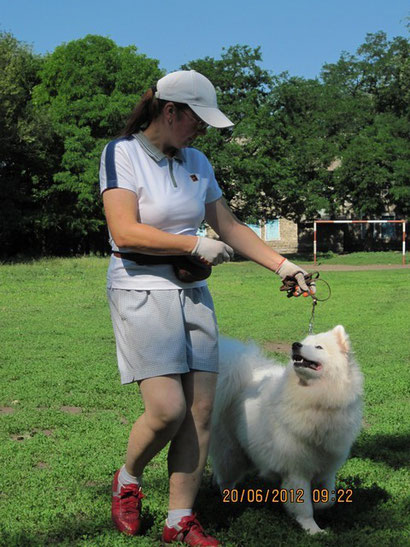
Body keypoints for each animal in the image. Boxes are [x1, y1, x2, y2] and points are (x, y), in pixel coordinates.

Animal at [210, 326, 364, 536]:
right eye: (303, 342)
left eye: (319, 347)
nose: (295, 345)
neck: (317, 399)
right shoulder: (296, 470)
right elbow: (304, 507)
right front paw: (313, 530)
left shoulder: (327, 466)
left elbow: (329, 498)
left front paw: (320, 506)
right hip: (232, 453)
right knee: (225, 480)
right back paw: (230, 500)